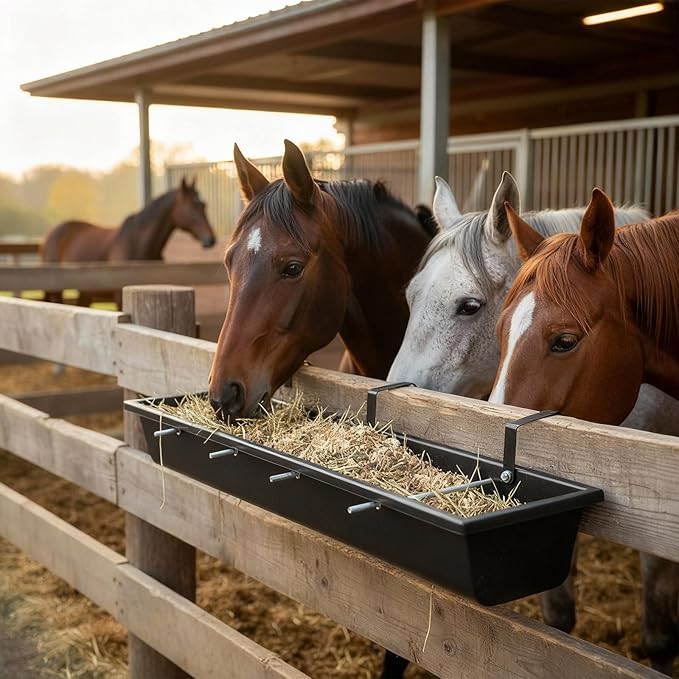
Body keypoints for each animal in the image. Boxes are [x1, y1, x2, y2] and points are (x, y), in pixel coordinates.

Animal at [41, 177, 216, 306]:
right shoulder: (119, 296)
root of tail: (48, 236)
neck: (139, 243)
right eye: (192, 205)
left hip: (85, 293)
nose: (211, 239)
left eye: (204, 205)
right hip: (57, 292)